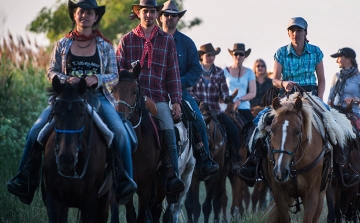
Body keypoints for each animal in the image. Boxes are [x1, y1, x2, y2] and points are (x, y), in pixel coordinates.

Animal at [41, 76, 116, 223]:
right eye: (55, 113)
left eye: (82, 114)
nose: (66, 159)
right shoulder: (54, 200)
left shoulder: (90, 202)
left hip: (104, 202)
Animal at [111, 63, 160, 222]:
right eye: (112, 89)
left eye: (134, 91)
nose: (120, 115)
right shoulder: (128, 188)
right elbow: (131, 215)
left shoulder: (145, 186)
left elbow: (142, 215)